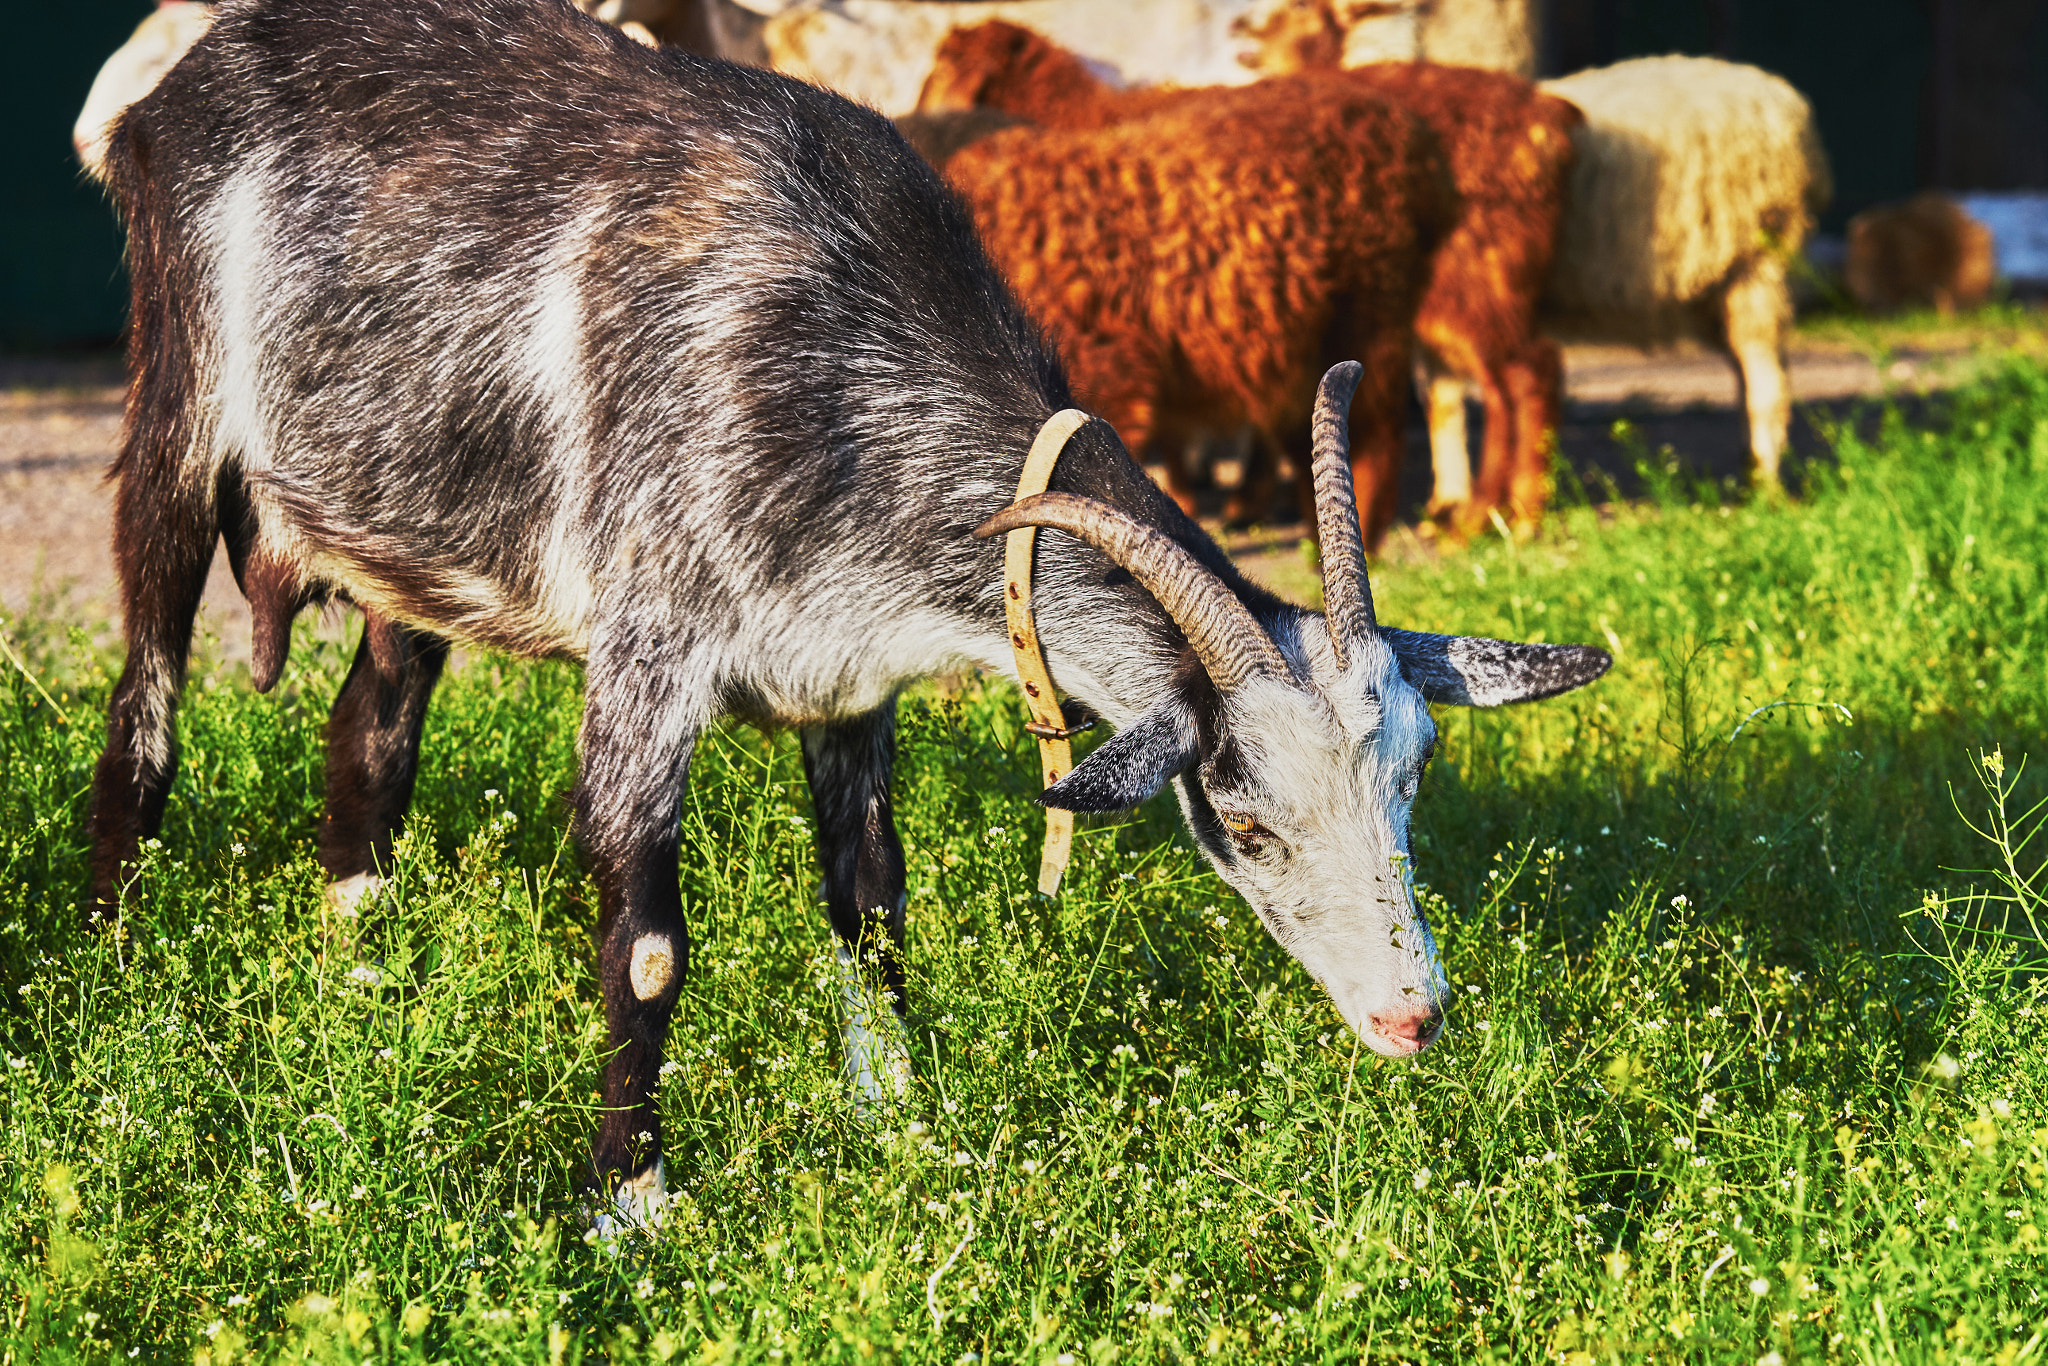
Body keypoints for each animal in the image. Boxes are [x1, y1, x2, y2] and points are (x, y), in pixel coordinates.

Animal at [93, 0, 1609, 1225]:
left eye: (1410, 779)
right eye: (1238, 818)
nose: (1412, 1017)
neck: (841, 342)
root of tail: (170, 95)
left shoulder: (844, 675)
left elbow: (873, 902)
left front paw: (902, 1124)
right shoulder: (649, 649)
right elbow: (648, 946)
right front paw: (632, 1200)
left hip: (409, 527)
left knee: (372, 725)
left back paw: (360, 966)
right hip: (177, 410)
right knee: (142, 714)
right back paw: (115, 970)